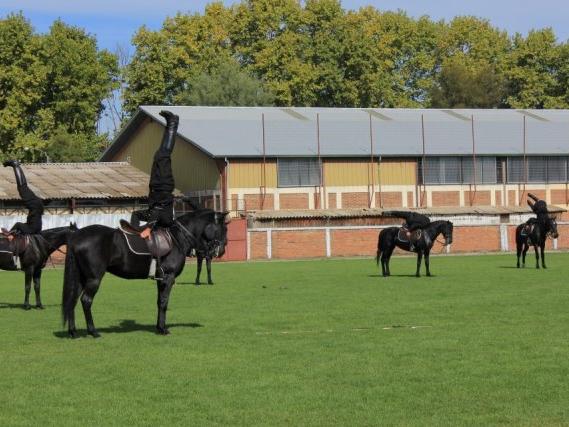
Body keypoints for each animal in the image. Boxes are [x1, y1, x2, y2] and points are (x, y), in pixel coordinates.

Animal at [62, 211, 229, 338]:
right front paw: (163, 330)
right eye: (223, 229)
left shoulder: (160, 279)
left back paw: (73, 332)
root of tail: (76, 236)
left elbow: (159, 302)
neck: (177, 238)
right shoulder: (168, 278)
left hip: (81, 278)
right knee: (86, 300)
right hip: (94, 279)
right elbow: (164, 302)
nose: (221, 251)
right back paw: (93, 331)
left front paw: (159, 327)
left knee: (73, 300)